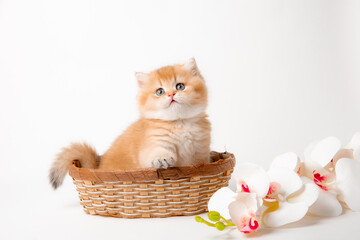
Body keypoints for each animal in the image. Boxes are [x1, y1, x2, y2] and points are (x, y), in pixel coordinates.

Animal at [49, 58, 210, 189]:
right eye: (160, 91)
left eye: (180, 86)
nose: (171, 94)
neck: (179, 123)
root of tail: (96, 168)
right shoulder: (153, 143)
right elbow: (156, 154)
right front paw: (162, 158)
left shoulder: (200, 153)